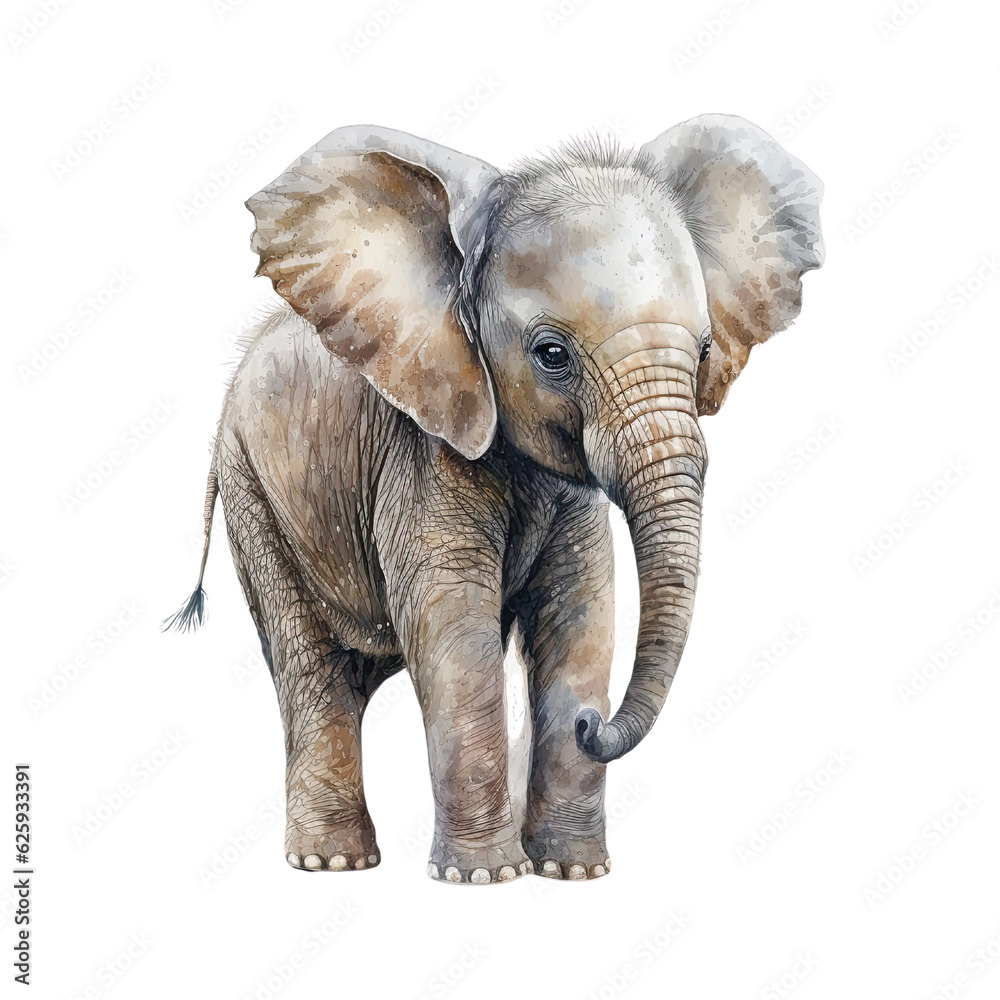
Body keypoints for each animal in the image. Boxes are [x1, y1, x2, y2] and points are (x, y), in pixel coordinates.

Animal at [168, 114, 824, 884]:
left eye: (702, 354)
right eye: (551, 356)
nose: (593, 723)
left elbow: (581, 619)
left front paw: (572, 873)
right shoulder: (422, 447)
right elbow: (456, 630)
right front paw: (483, 877)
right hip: (253, 487)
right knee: (309, 664)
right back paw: (332, 863)